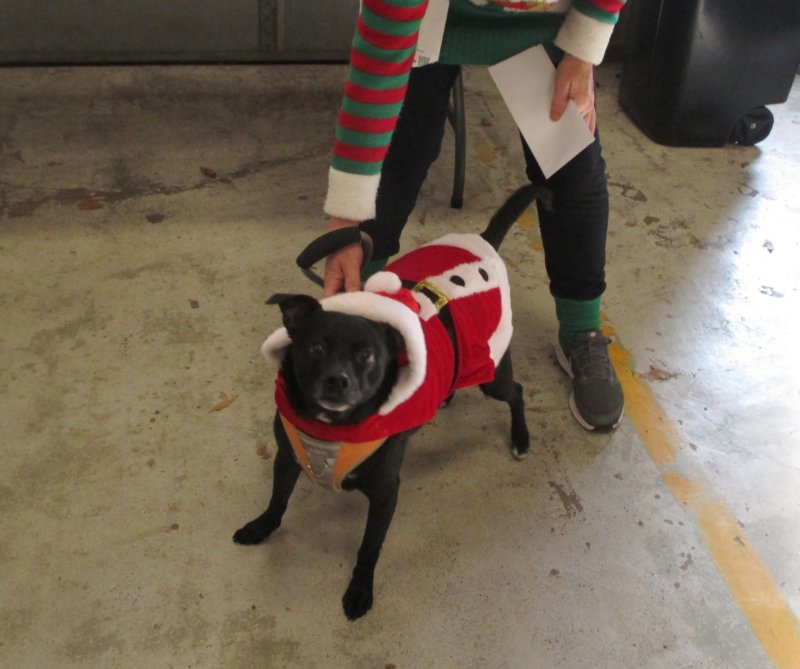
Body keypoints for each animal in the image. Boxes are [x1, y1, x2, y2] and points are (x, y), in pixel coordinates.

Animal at [233, 183, 550, 620]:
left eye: (368, 355)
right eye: (315, 348)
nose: (338, 381)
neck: (331, 429)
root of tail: (482, 242)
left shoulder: (385, 492)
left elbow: (369, 547)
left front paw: (360, 591)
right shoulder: (287, 458)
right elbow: (277, 501)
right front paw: (261, 527)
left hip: (493, 372)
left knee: (516, 392)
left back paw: (521, 438)